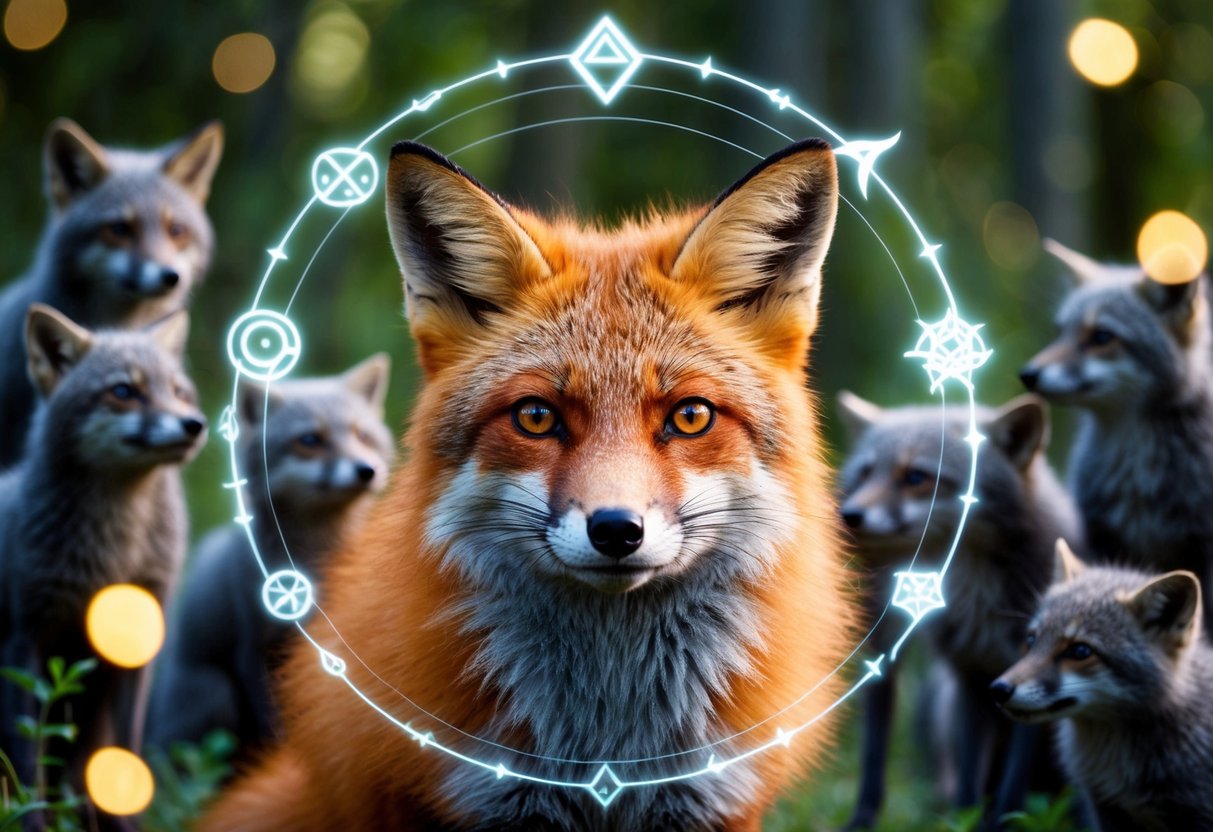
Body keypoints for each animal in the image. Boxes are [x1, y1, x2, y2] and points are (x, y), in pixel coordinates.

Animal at [0, 305, 206, 829]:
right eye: (123, 391)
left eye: (179, 391)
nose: (194, 424)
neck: (114, 554)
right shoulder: (26, 637)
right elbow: (28, 758)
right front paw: (31, 823)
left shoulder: (140, 641)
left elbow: (126, 755)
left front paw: (128, 825)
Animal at [147, 354, 395, 758]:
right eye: (310, 440)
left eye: (362, 436)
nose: (366, 470)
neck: (314, 564)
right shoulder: (257, 646)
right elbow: (275, 727)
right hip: (215, 693)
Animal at [836, 393, 1080, 829]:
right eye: (865, 473)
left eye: (916, 476)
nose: (849, 516)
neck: (978, 604)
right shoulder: (969, 675)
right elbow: (967, 776)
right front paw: (964, 819)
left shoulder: (1030, 684)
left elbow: (1012, 783)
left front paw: (1003, 822)